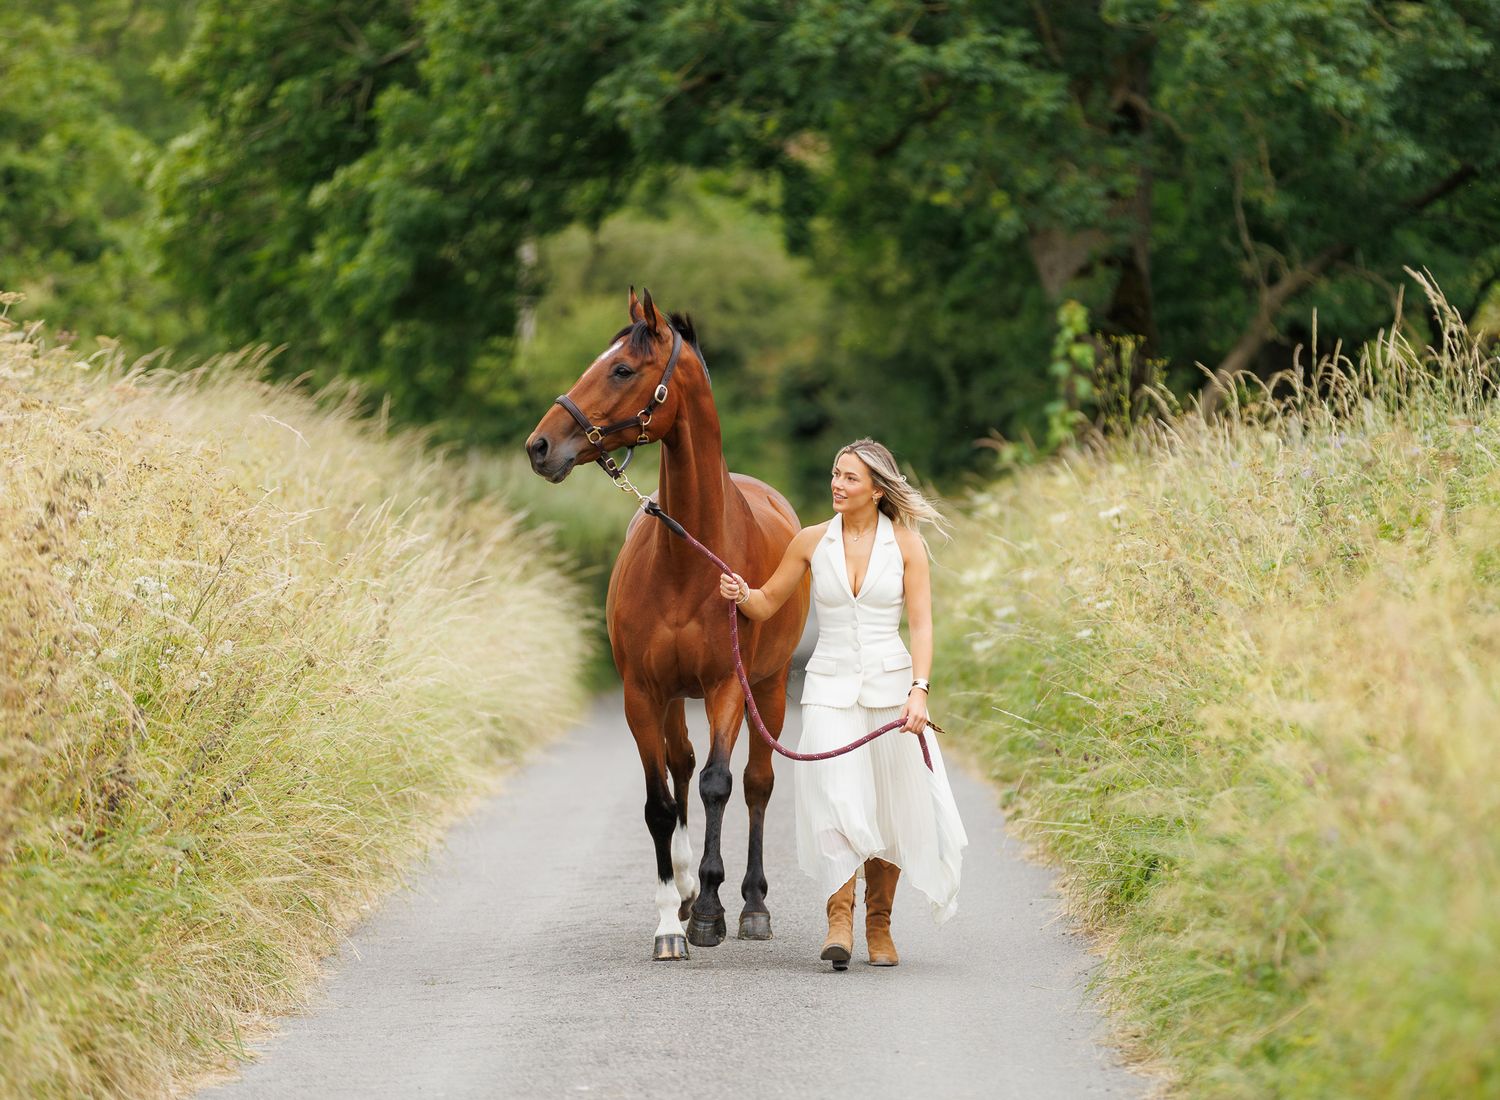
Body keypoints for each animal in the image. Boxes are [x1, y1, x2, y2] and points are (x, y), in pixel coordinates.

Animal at [525, 288, 809, 960]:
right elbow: (660, 802)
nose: (540, 446)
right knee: (680, 765)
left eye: (623, 369)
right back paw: (682, 890)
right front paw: (670, 923)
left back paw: (751, 904)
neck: (689, 559)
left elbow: (718, 785)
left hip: (769, 688)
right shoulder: (643, 692)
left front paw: (709, 910)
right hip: (676, 697)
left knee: (756, 783)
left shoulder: (728, 687)